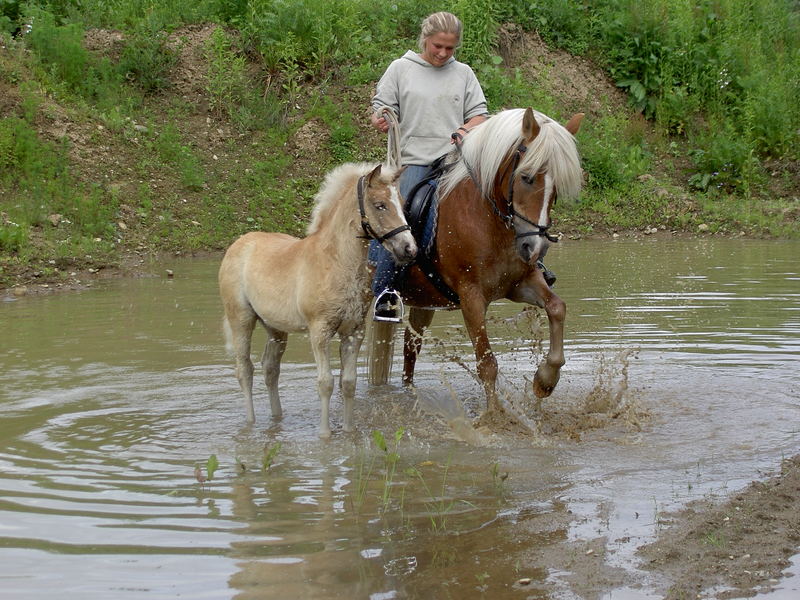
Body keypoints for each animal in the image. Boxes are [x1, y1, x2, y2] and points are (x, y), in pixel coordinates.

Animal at [220, 162, 418, 438]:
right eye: (380, 205)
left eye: (401, 202)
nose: (409, 249)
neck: (336, 261)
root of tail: (239, 243)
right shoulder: (320, 330)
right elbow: (326, 383)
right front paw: (325, 435)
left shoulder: (353, 331)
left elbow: (348, 382)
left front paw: (348, 431)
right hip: (241, 319)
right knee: (245, 370)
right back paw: (250, 423)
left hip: (276, 328)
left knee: (270, 369)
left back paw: (277, 418)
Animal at [368, 109, 580, 412]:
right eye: (527, 177)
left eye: (557, 188)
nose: (535, 248)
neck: (486, 219)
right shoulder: (472, 297)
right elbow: (487, 365)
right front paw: (495, 418)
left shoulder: (521, 283)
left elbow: (557, 307)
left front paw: (545, 380)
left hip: (423, 300)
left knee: (411, 347)